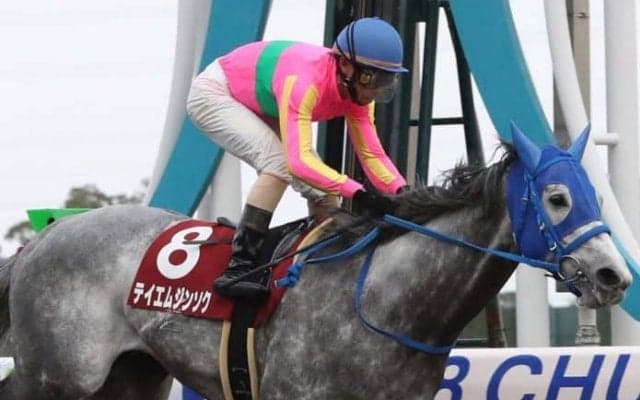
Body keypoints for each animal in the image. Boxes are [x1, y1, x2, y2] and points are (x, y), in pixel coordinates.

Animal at [0, 124, 631, 400]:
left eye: (597, 196)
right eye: (558, 198)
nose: (614, 276)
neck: (387, 302)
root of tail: (42, 240)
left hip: (134, 377)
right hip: (59, 374)